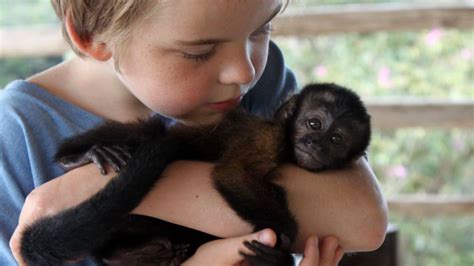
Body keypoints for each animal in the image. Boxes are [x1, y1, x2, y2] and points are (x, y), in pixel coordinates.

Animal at [21, 83, 370, 266]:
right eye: (313, 123)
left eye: (336, 139)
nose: (316, 144)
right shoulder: (268, 136)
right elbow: (233, 173)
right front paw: (282, 234)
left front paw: (275, 256)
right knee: (152, 130)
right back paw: (76, 158)